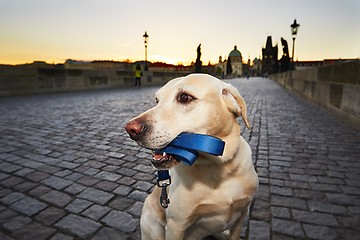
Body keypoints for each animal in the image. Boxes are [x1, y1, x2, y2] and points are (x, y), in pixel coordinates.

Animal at [125, 73, 258, 240]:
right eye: (157, 101)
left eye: (184, 97)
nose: (130, 129)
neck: (217, 166)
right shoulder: (176, 226)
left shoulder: (241, 215)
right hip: (154, 226)